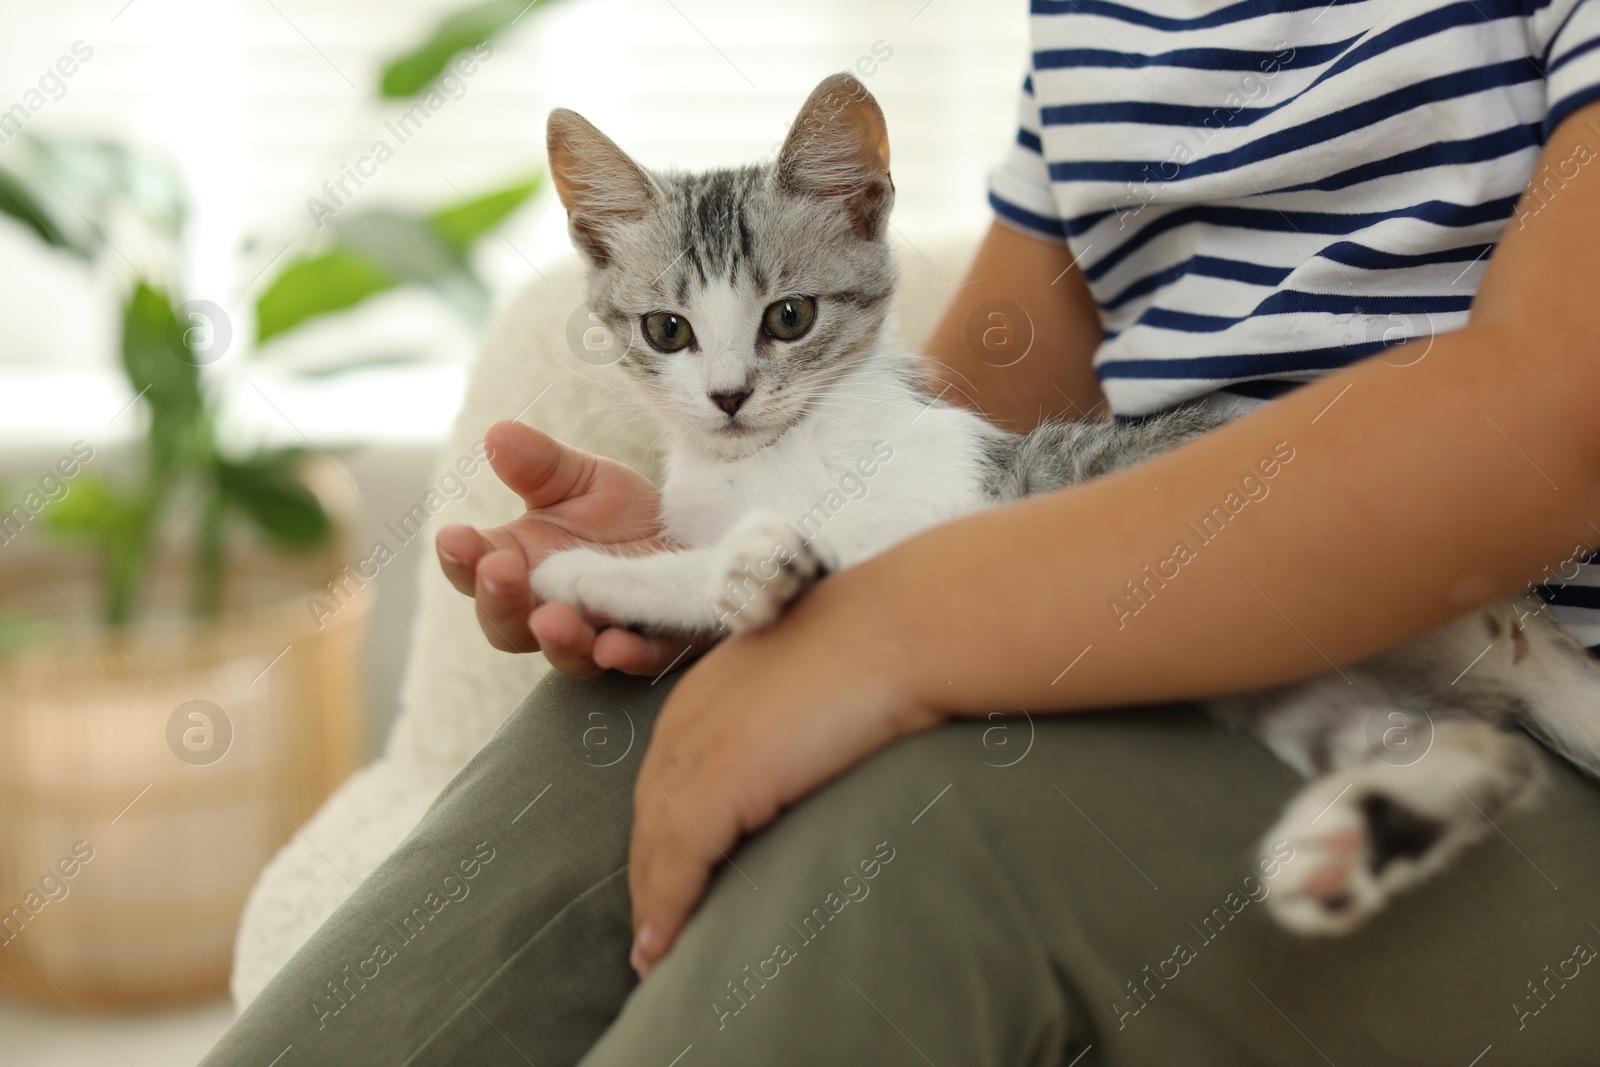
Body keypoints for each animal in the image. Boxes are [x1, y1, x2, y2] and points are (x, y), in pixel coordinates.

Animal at [534, 73, 1600, 934]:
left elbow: (751, 561)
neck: (761, 460)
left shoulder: (922, 517)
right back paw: (1348, 840)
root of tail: (1519, 627)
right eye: (666, 331)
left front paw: (599, 568)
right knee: (1479, 756)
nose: (727, 396)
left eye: (789, 317)